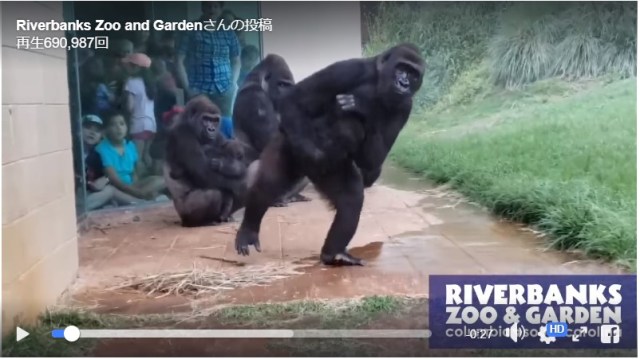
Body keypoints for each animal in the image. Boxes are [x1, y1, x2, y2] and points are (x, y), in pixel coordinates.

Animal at [164, 94, 254, 226]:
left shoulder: (219, 135)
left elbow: (237, 158)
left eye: (215, 120)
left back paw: (226, 216)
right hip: (184, 212)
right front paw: (242, 184)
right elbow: (204, 173)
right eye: (206, 119)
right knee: (214, 194)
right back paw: (202, 221)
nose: (211, 129)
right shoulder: (182, 134)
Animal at [234, 43, 424, 268]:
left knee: (351, 197)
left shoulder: (406, 106)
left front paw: (360, 107)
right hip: (288, 140)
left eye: (413, 74)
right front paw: (312, 153)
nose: (404, 83)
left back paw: (334, 253)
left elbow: (373, 160)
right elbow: (294, 99)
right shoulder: (350, 69)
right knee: (267, 185)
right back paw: (249, 228)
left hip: (332, 167)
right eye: (401, 68)